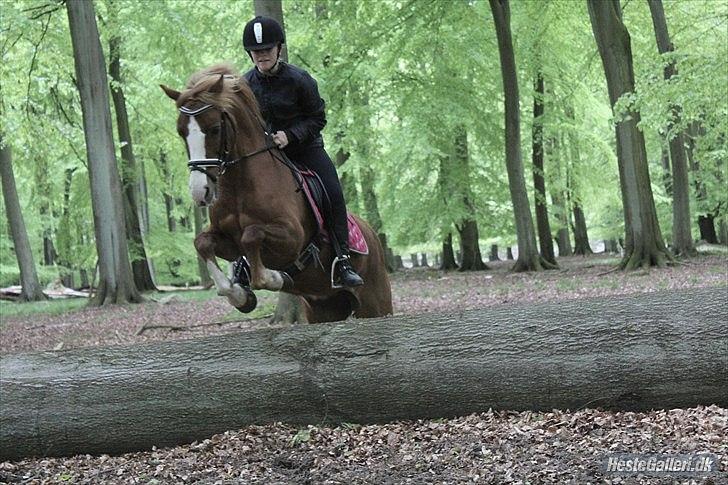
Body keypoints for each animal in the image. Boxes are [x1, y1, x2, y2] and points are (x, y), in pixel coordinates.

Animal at [161, 64, 392, 322]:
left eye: (215, 129)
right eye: (181, 132)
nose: (199, 191)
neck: (240, 187)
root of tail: (372, 233)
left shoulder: (292, 238)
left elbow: (252, 235)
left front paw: (273, 277)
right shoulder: (229, 243)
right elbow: (202, 243)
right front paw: (238, 294)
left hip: (375, 303)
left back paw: (346, 271)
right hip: (325, 308)